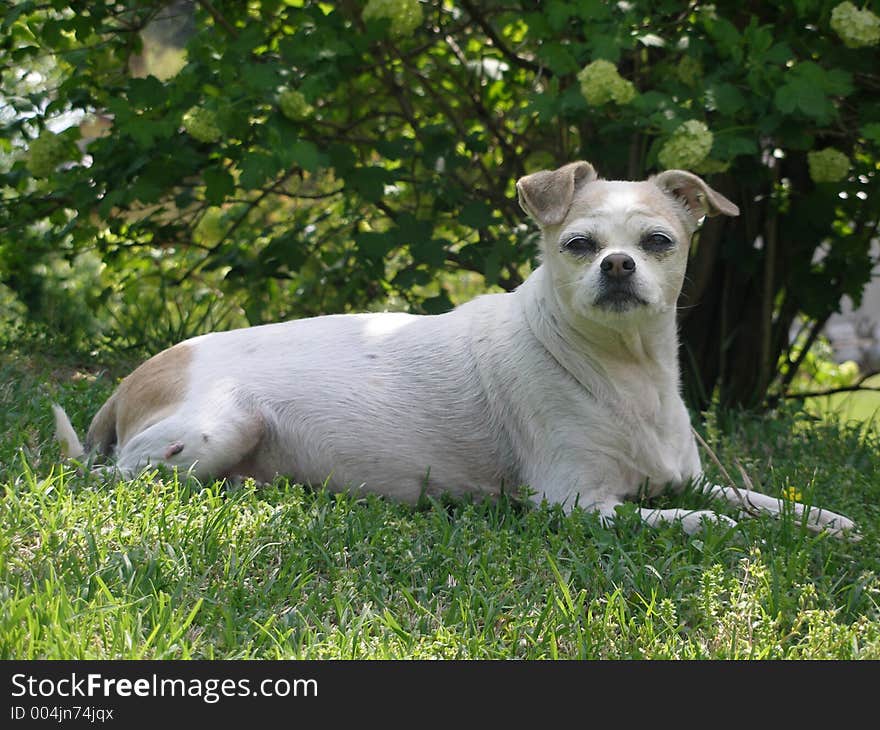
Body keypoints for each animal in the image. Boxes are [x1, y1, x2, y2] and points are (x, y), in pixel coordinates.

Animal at [51, 164, 856, 536]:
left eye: (659, 240)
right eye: (578, 245)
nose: (618, 265)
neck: (625, 371)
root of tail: (131, 382)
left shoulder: (685, 478)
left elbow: (765, 500)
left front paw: (830, 522)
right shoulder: (574, 504)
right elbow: (696, 519)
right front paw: (715, 530)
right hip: (211, 434)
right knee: (115, 477)